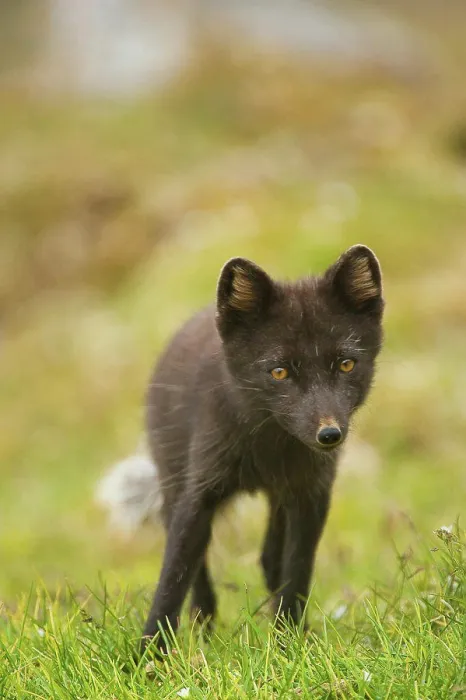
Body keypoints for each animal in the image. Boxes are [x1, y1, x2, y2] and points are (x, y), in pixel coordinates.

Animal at [97, 244, 384, 654]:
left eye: (346, 364)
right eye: (279, 372)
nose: (329, 435)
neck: (268, 448)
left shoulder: (311, 495)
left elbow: (296, 571)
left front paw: (289, 643)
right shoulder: (200, 492)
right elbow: (173, 578)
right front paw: (148, 656)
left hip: (281, 498)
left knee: (268, 559)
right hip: (173, 482)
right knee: (199, 568)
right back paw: (204, 629)